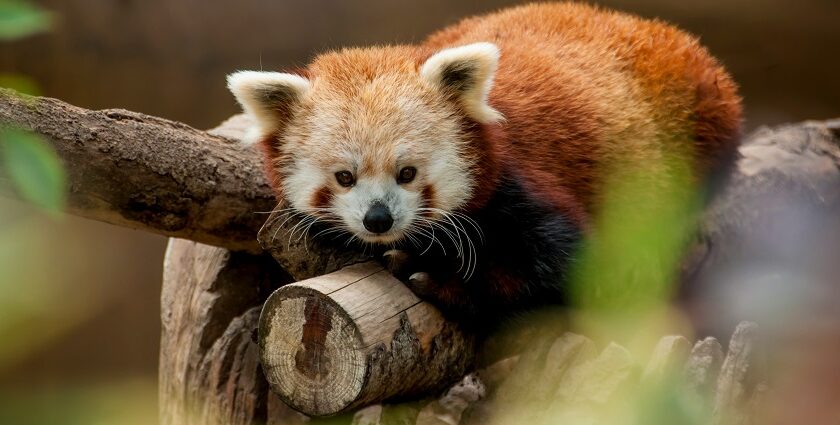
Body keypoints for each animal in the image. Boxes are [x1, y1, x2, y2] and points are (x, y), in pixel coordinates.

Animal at [228, 2, 740, 322]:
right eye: (344, 177)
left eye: (408, 173)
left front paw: (439, 280)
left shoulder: (521, 184)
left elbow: (566, 269)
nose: (379, 219)